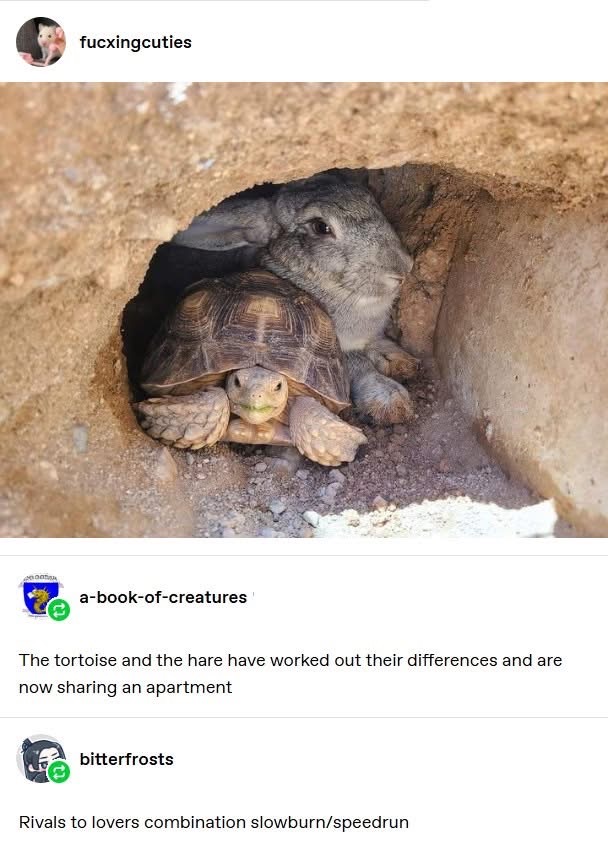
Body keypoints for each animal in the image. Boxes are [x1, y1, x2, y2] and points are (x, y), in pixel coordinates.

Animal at [172, 172, 418, 424]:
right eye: (321, 227)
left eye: (370, 196)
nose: (403, 268)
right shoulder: (335, 353)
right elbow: (357, 364)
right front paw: (391, 399)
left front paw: (401, 360)